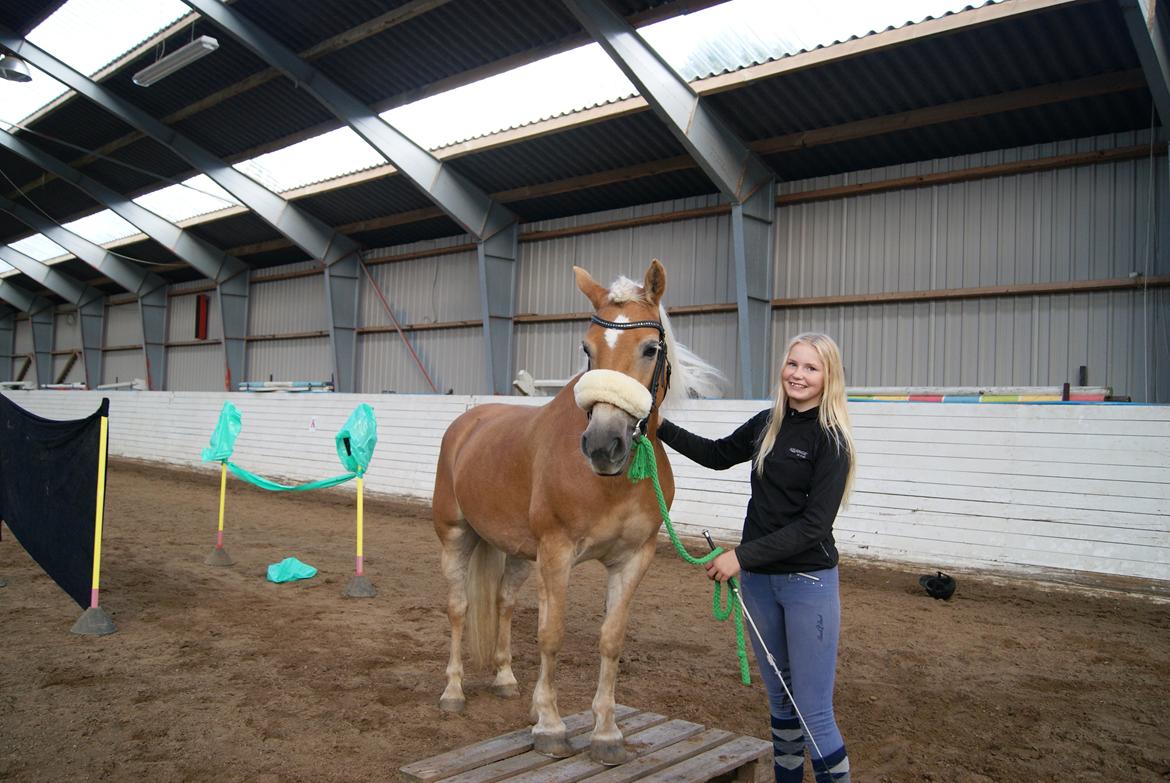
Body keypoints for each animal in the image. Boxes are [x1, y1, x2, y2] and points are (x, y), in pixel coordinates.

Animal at [435, 259, 716, 758]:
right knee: (459, 607)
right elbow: (552, 634)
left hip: (518, 554)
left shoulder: (632, 559)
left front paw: (606, 733)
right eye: (587, 347)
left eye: (650, 348)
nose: (603, 445)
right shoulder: (558, 552)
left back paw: (505, 679)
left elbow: (611, 639)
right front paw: (550, 726)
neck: (611, 485)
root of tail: (467, 423)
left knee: (504, 602)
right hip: (456, 536)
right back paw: (453, 692)